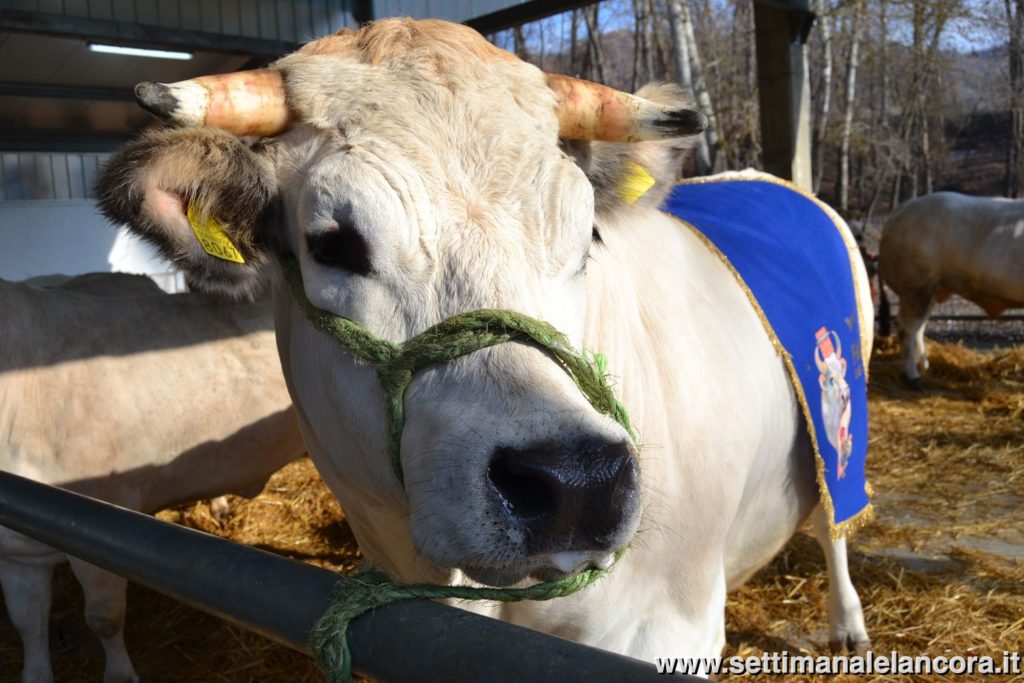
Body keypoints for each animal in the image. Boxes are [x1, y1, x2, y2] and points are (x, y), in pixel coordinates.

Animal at [94, 18, 872, 675]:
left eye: (588, 233)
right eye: (333, 243)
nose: (576, 480)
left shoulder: (670, 629)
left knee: (834, 519)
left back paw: (848, 623)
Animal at [880, 191, 1024, 385]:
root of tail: (902, 209)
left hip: (929, 291)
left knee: (919, 327)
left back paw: (926, 365)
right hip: (915, 286)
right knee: (907, 328)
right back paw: (914, 377)